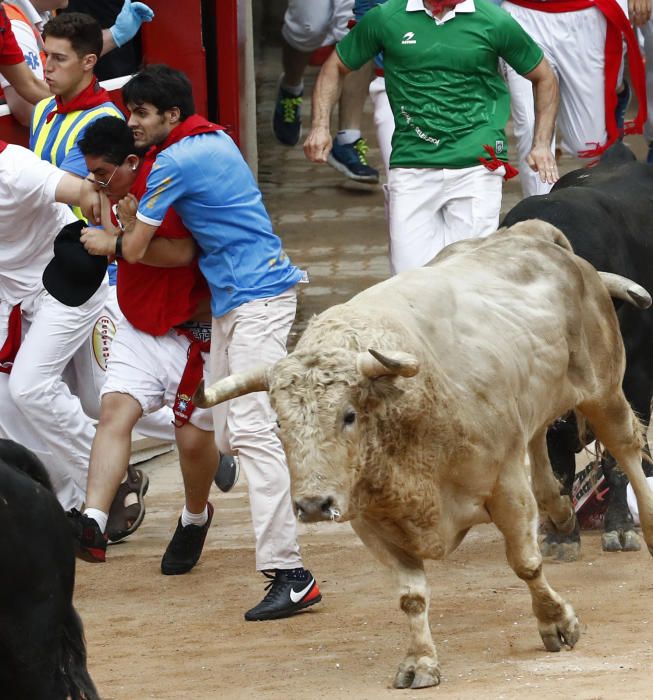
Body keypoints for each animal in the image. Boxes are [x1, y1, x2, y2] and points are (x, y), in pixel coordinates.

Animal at [192, 223, 652, 688]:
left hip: (605, 391)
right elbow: (410, 596)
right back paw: (559, 512)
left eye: (348, 415)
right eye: (279, 424)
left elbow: (525, 563)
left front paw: (556, 622)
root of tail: (532, 234)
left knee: (627, 453)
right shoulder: (372, 521)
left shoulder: (505, 483)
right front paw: (420, 662)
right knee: (542, 433)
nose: (313, 504)